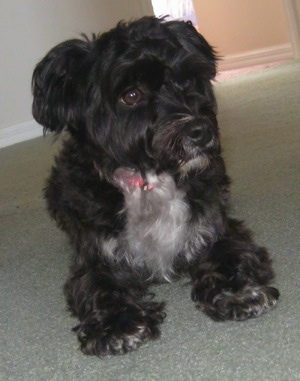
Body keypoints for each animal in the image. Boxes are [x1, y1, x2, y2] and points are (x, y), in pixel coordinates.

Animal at [32, 16, 278, 356]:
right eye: (131, 95)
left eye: (189, 80)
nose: (201, 131)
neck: (150, 181)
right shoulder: (97, 257)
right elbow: (98, 288)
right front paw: (117, 325)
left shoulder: (216, 228)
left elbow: (231, 257)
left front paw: (239, 293)